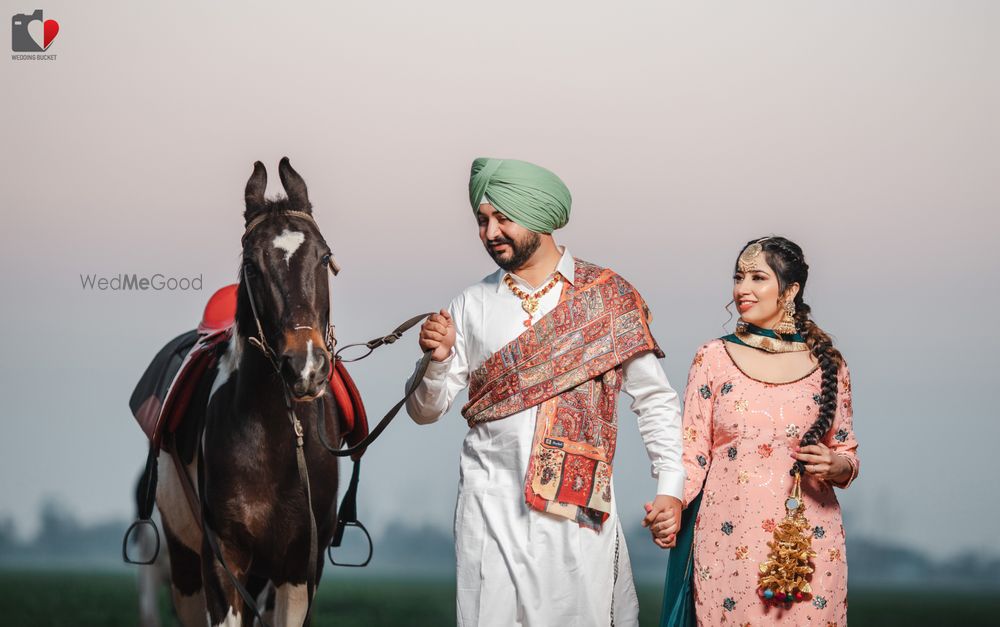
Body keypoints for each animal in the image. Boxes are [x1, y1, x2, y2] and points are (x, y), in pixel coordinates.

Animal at [155, 157, 344, 624]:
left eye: (323, 257)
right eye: (252, 264)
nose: (305, 366)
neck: (281, 437)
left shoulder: (300, 566)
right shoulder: (223, 559)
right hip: (184, 563)